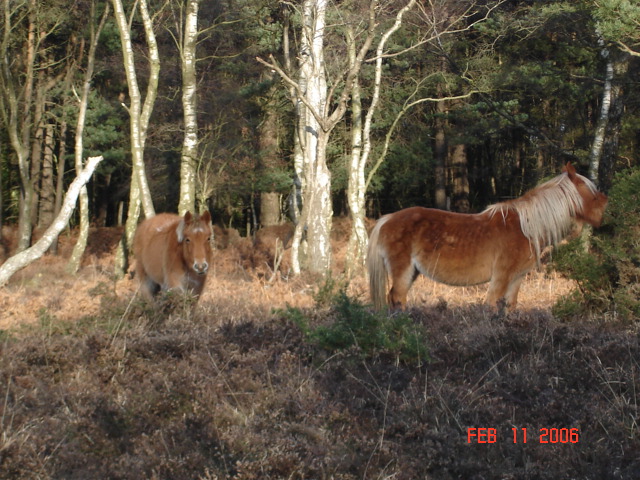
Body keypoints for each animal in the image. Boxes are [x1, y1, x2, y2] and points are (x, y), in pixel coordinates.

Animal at [367, 163, 608, 312]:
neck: (526, 227)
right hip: (403, 270)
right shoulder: (501, 277)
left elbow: (509, 308)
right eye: (591, 192)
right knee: (397, 298)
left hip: (412, 272)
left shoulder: (517, 278)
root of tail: (387, 218)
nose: (606, 204)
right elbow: (492, 306)